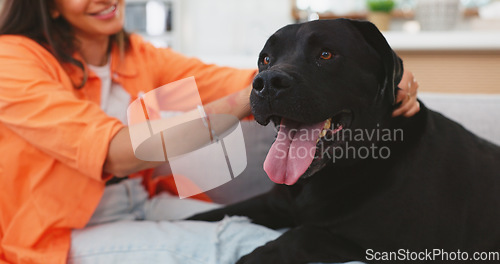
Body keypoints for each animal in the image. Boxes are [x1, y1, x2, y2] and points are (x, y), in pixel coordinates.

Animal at [188, 19, 500, 264]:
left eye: (326, 54)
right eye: (266, 58)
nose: (266, 83)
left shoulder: (395, 247)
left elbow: (303, 235)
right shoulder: (271, 204)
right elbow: (205, 217)